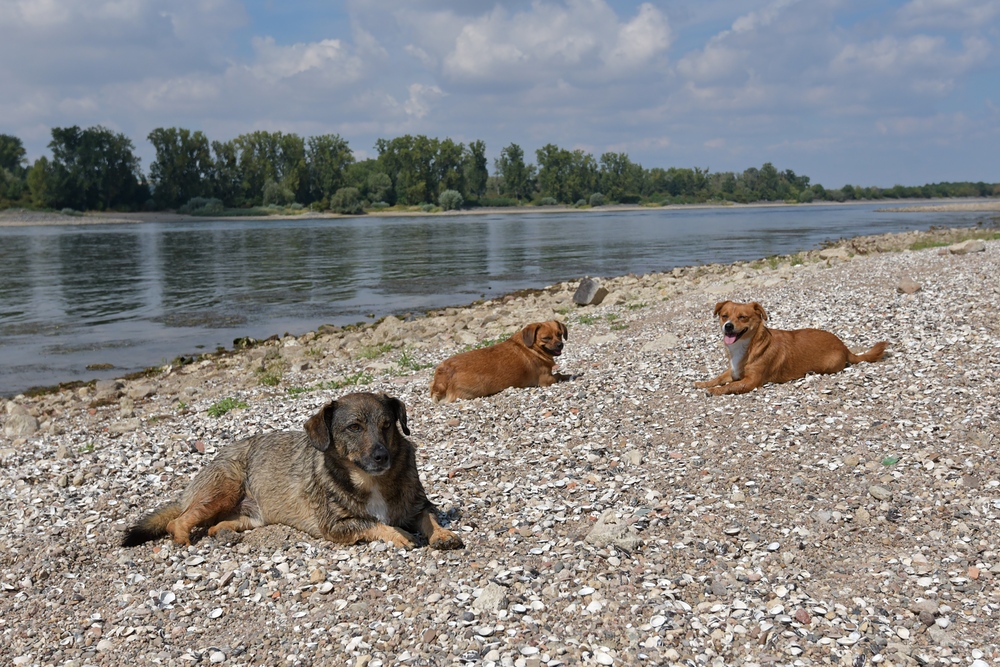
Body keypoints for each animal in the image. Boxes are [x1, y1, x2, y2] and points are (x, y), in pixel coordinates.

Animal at [123, 394, 462, 552]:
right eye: (354, 427)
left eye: (387, 425)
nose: (382, 456)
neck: (371, 479)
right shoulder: (335, 526)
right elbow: (375, 523)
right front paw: (400, 534)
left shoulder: (419, 506)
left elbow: (430, 517)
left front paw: (443, 534)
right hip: (225, 488)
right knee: (178, 521)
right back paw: (183, 539)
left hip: (250, 516)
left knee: (214, 525)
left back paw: (223, 533)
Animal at [432, 320, 572, 402]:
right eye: (546, 338)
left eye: (559, 334)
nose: (560, 345)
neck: (532, 347)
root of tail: (444, 373)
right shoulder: (546, 379)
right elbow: (559, 374)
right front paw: (568, 376)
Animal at [696, 300, 884, 394]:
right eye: (724, 316)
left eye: (742, 317)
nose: (727, 326)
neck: (746, 345)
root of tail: (845, 348)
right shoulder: (734, 371)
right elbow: (719, 377)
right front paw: (704, 383)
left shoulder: (751, 381)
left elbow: (731, 386)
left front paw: (713, 391)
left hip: (828, 365)